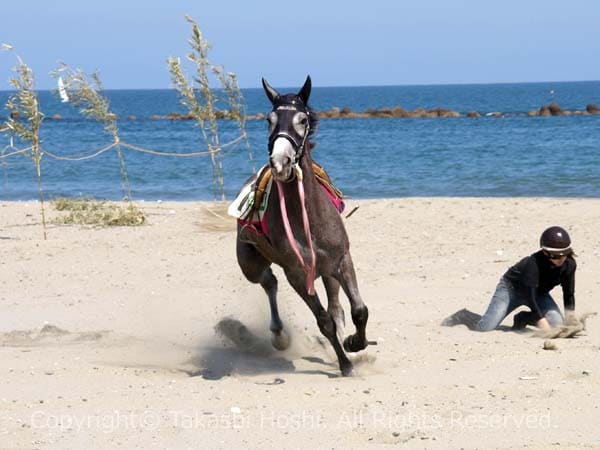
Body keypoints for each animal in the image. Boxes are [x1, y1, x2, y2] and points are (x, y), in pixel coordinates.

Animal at [236, 74, 370, 376]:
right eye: (269, 119)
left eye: (302, 120)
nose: (281, 162)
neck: (307, 217)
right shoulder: (297, 274)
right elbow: (324, 322)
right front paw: (345, 365)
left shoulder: (342, 260)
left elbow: (358, 310)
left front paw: (354, 343)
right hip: (250, 265)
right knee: (268, 282)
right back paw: (279, 335)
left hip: (328, 270)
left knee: (335, 302)